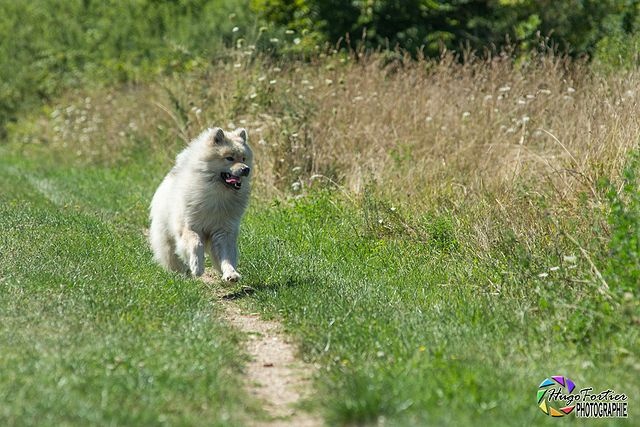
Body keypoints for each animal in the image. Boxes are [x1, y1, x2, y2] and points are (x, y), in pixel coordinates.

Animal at [149, 127, 253, 281]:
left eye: (244, 159)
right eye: (229, 158)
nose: (246, 169)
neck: (217, 195)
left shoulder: (223, 232)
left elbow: (227, 257)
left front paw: (231, 274)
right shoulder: (190, 227)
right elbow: (196, 244)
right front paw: (197, 267)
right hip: (166, 236)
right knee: (171, 256)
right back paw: (179, 273)